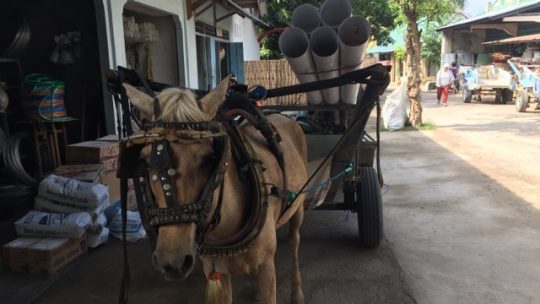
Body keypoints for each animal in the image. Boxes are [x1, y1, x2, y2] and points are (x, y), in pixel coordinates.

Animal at [122, 76, 308, 304]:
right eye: (147, 161)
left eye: (209, 158)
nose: (172, 261)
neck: (224, 230)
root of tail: (285, 117)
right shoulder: (216, 271)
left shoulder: (266, 268)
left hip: (298, 207)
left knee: (294, 240)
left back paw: (297, 291)